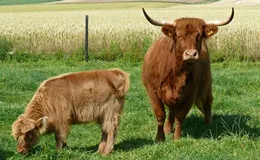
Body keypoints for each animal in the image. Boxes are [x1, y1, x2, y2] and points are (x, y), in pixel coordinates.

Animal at [141, 8, 235, 141]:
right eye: (179, 36)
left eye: (199, 36)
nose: (191, 54)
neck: (177, 73)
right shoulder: (153, 91)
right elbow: (160, 115)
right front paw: (160, 137)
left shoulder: (190, 94)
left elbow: (180, 117)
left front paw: (176, 139)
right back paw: (168, 129)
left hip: (207, 84)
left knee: (207, 103)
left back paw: (208, 125)